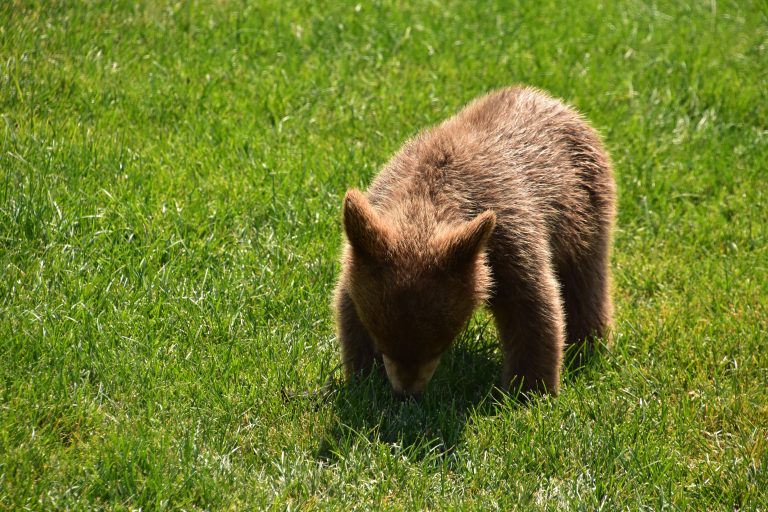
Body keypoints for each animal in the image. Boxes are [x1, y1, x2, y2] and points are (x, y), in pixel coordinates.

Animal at [333, 86, 616, 398]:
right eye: (380, 335)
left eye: (440, 341)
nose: (407, 392)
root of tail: (550, 99)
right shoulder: (367, 237)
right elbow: (347, 303)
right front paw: (364, 378)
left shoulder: (509, 237)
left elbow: (533, 307)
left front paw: (529, 391)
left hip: (584, 214)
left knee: (584, 281)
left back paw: (587, 344)